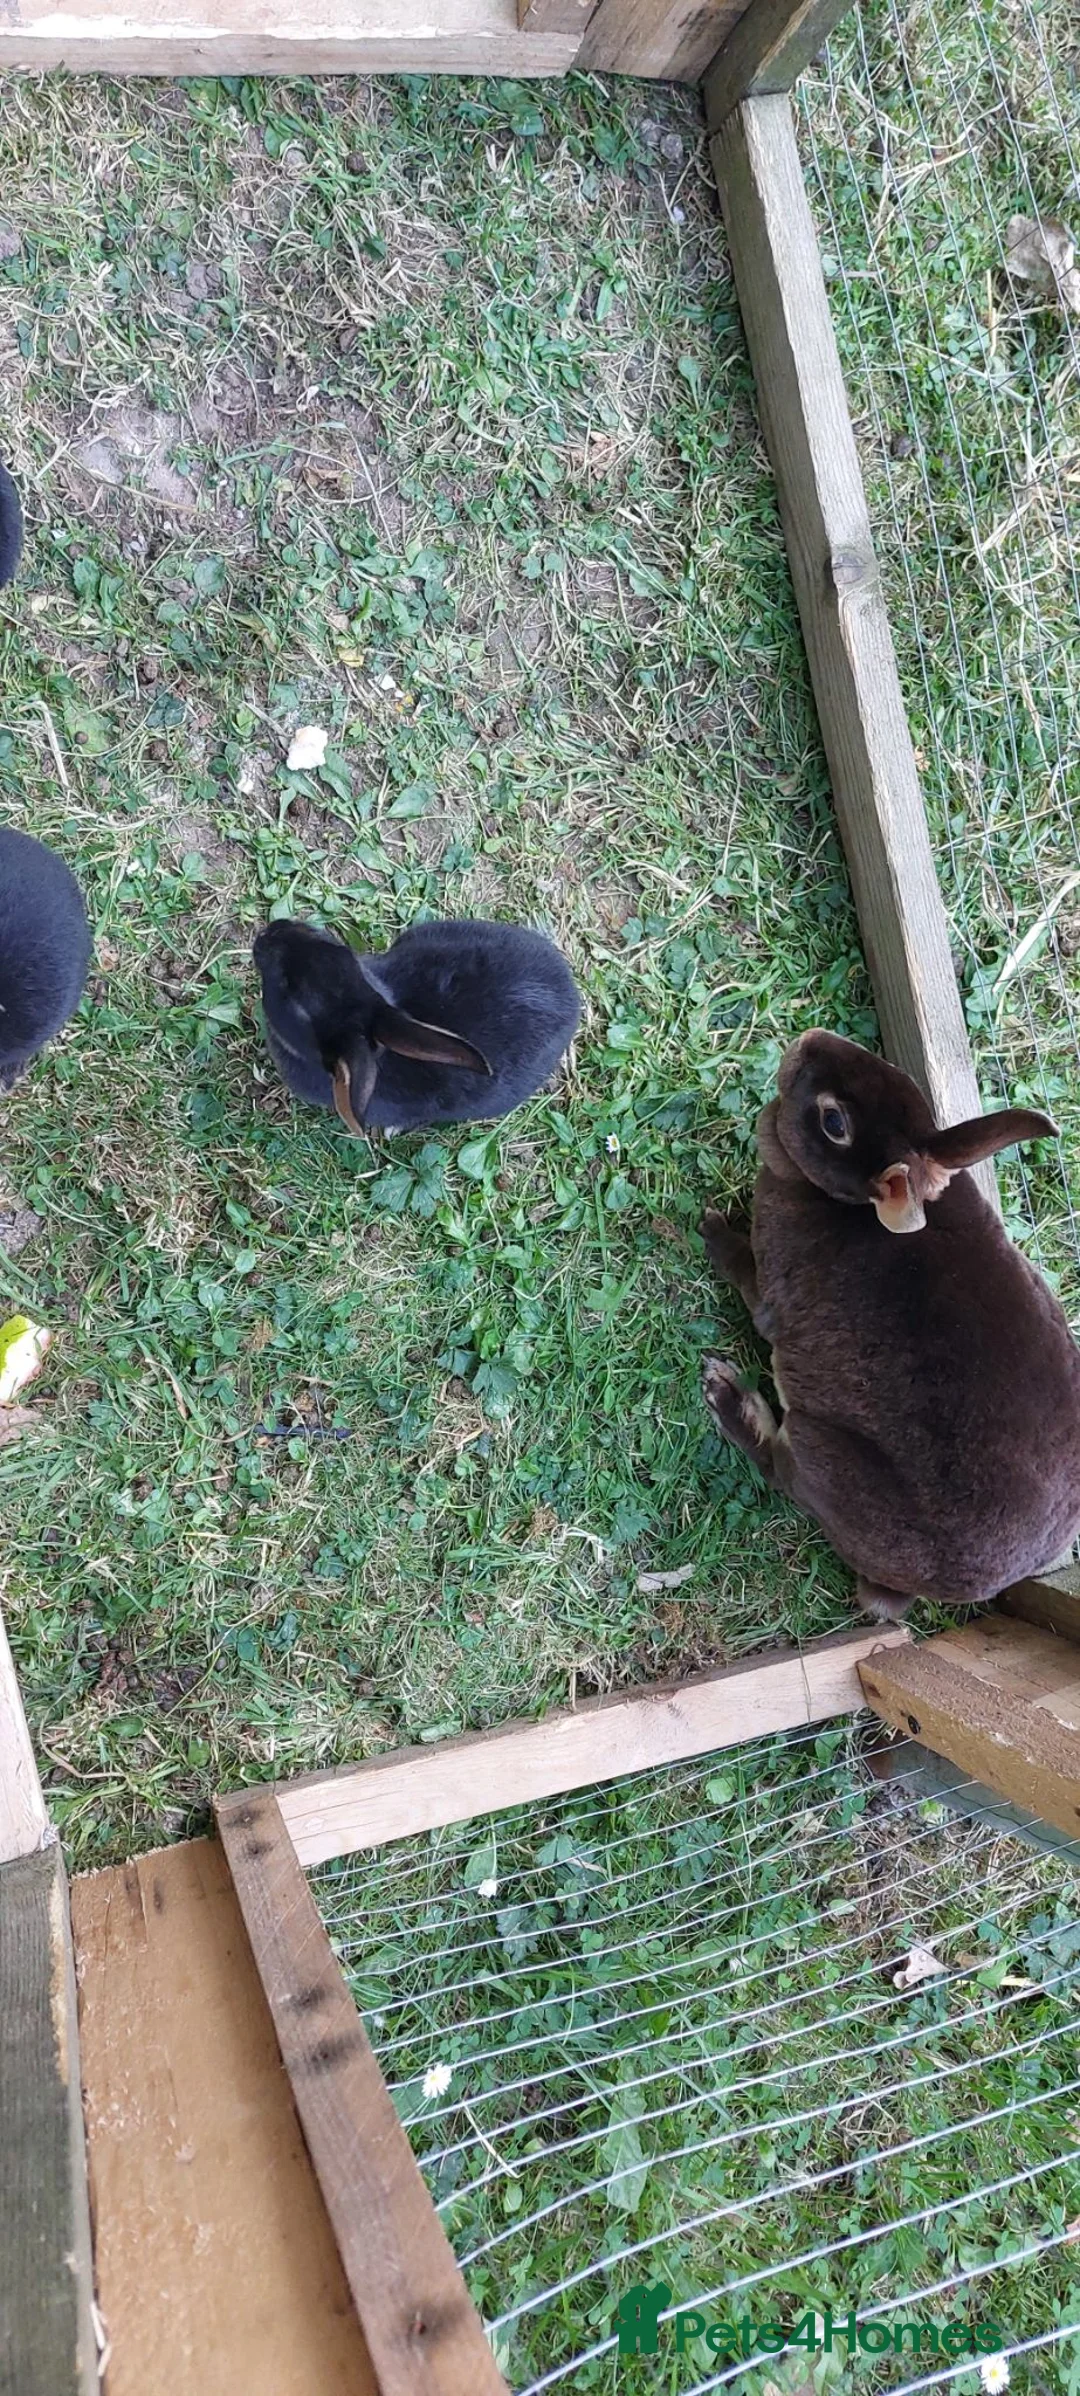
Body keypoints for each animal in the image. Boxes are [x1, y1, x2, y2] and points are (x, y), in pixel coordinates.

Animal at [699, 1029, 1080, 1623]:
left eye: (834, 1122)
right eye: (895, 1072)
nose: (809, 1041)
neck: (847, 1203)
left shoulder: (769, 1292)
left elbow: (742, 1272)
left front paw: (713, 1229)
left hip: (821, 1450)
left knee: (782, 1472)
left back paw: (728, 1398)